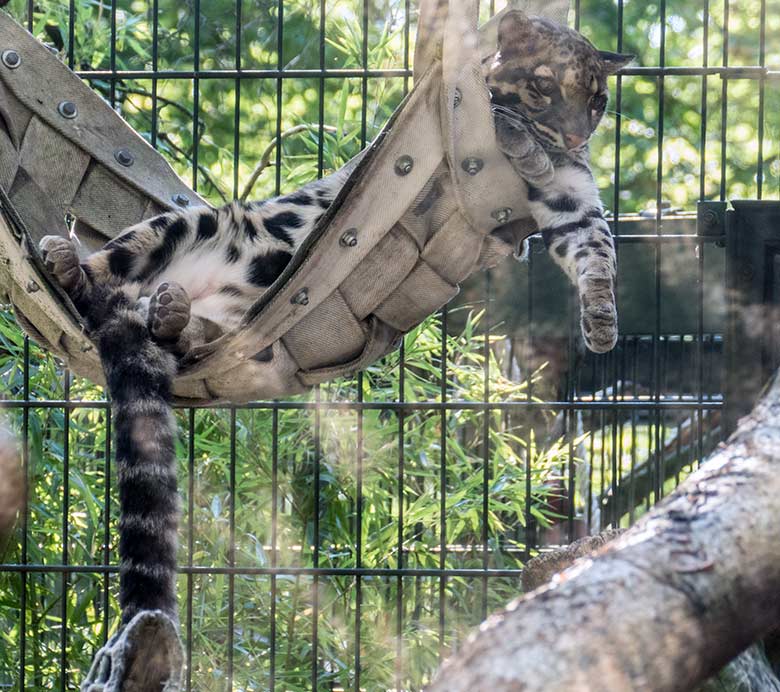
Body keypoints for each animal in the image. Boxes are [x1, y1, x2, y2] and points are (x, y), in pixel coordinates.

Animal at [39, 9, 632, 628]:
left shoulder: (576, 204)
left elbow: (599, 255)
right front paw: (522, 139)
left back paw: (172, 312)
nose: (575, 136)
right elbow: (501, 117)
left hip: (236, 323)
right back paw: (67, 263)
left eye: (596, 101)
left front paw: (602, 322)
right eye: (544, 86)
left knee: (186, 333)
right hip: (190, 225)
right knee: (108, 270)